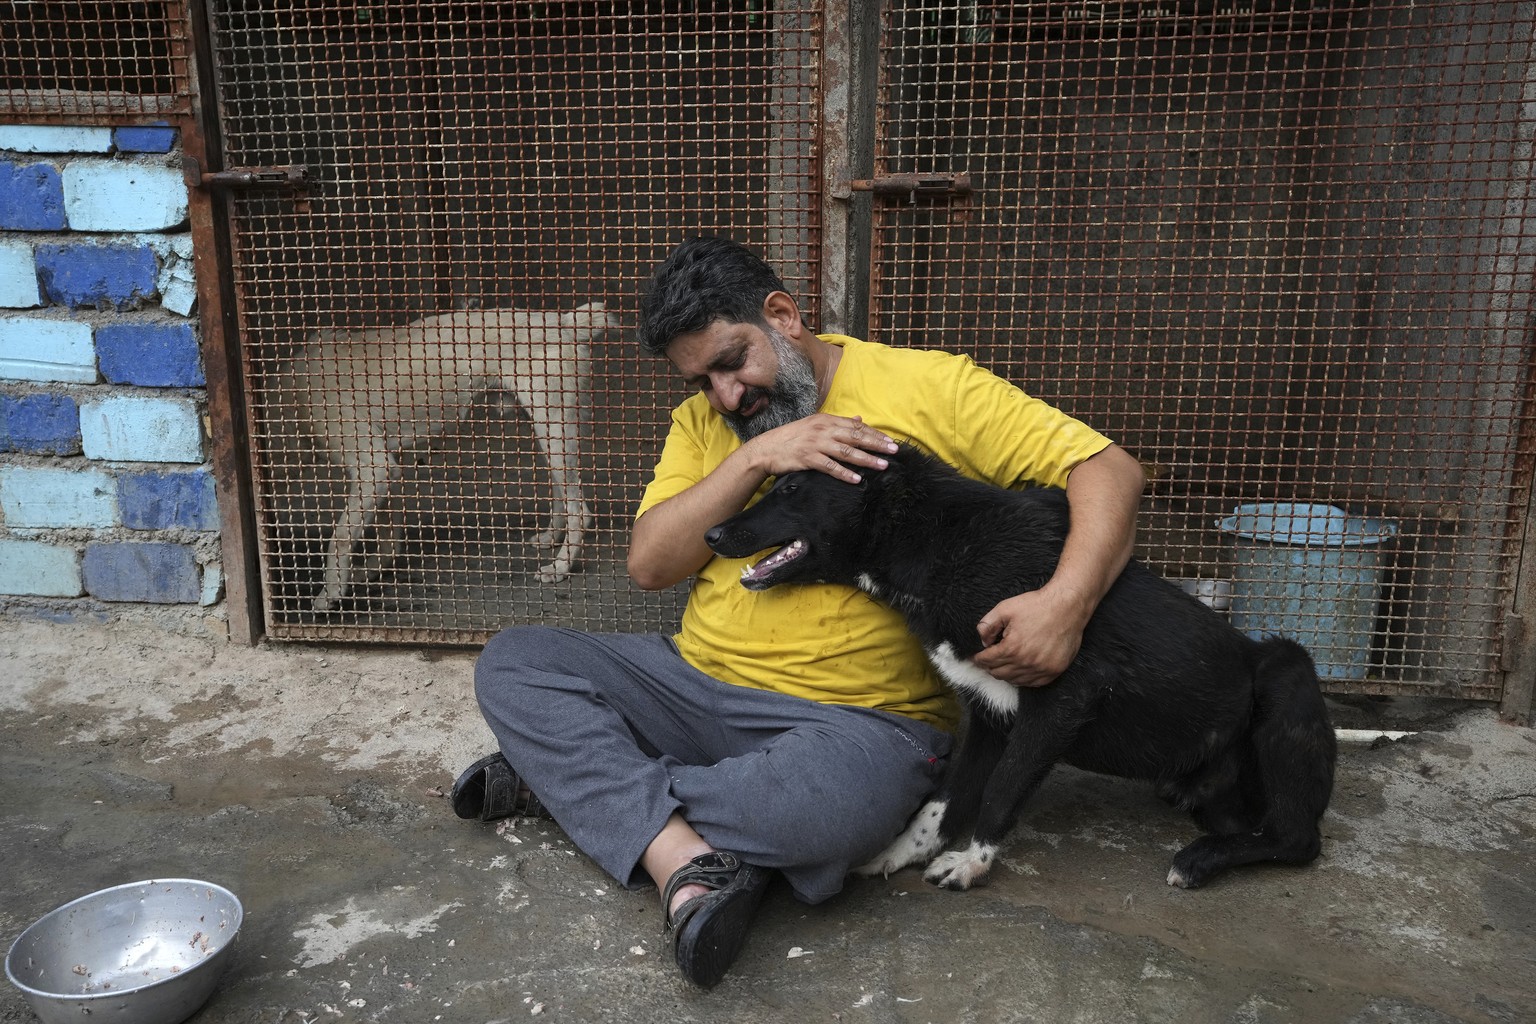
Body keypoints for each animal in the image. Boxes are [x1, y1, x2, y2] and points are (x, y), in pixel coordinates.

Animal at [294, 300, 617, 614]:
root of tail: (563, 321)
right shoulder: (386, 469)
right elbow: (388, 539)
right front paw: (367, 572)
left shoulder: (374, 468)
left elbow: (339, 538)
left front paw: (330, 592)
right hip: (546, 430)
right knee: (561, 490)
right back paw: (551, 537)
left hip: (551, 426)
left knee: (580, 510)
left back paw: (560, 567)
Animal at [703, 445, 1333, 890]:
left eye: (790, 488)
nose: (710, 532)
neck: (939, 543)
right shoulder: (986, 710)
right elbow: (944, 798)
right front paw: (904, 852)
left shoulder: (1065, 697)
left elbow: (1001, 788)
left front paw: (972, 864)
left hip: (1286, 671)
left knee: (1299, 840)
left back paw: (1200, 860)